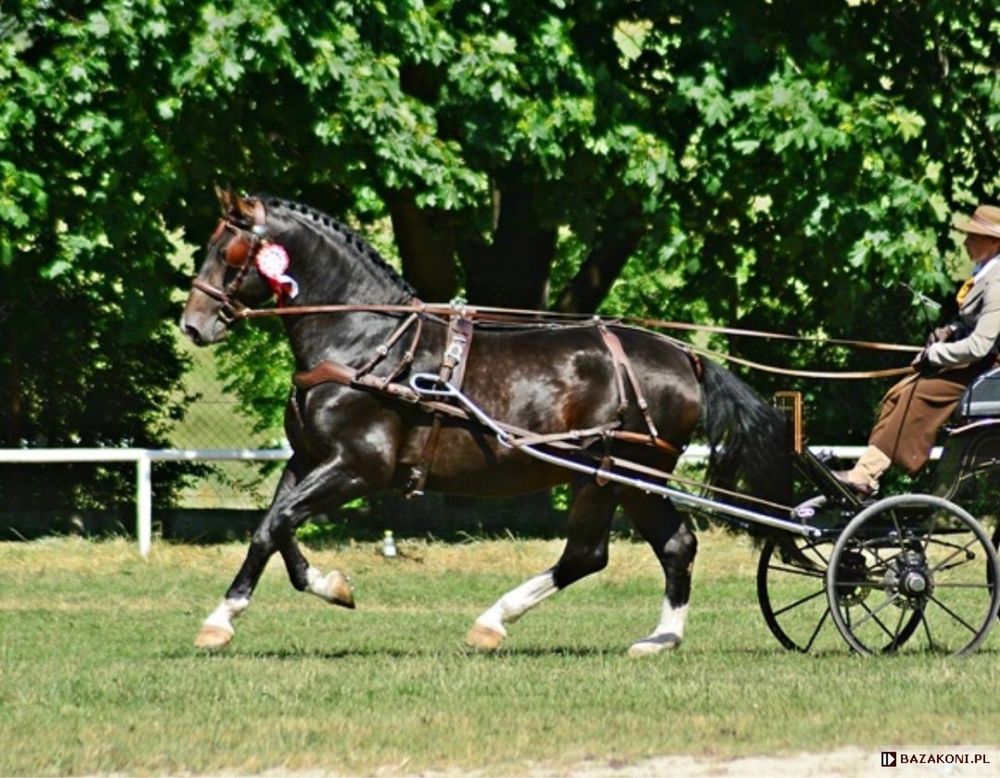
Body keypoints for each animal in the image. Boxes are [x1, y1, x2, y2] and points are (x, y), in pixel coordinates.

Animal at [180, 192, 788, 656]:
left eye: (226, 250)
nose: (192, 325)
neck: (366, 342)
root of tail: (681, 355)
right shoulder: (307, 459)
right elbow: (276, 527)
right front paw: (324, 587)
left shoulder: (357, 467)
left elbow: (273, 525)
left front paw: (224, 620)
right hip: (622, 478)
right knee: (659, 546)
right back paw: (656, 638)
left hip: (618, 473)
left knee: (603, 552)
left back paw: (501, 620)